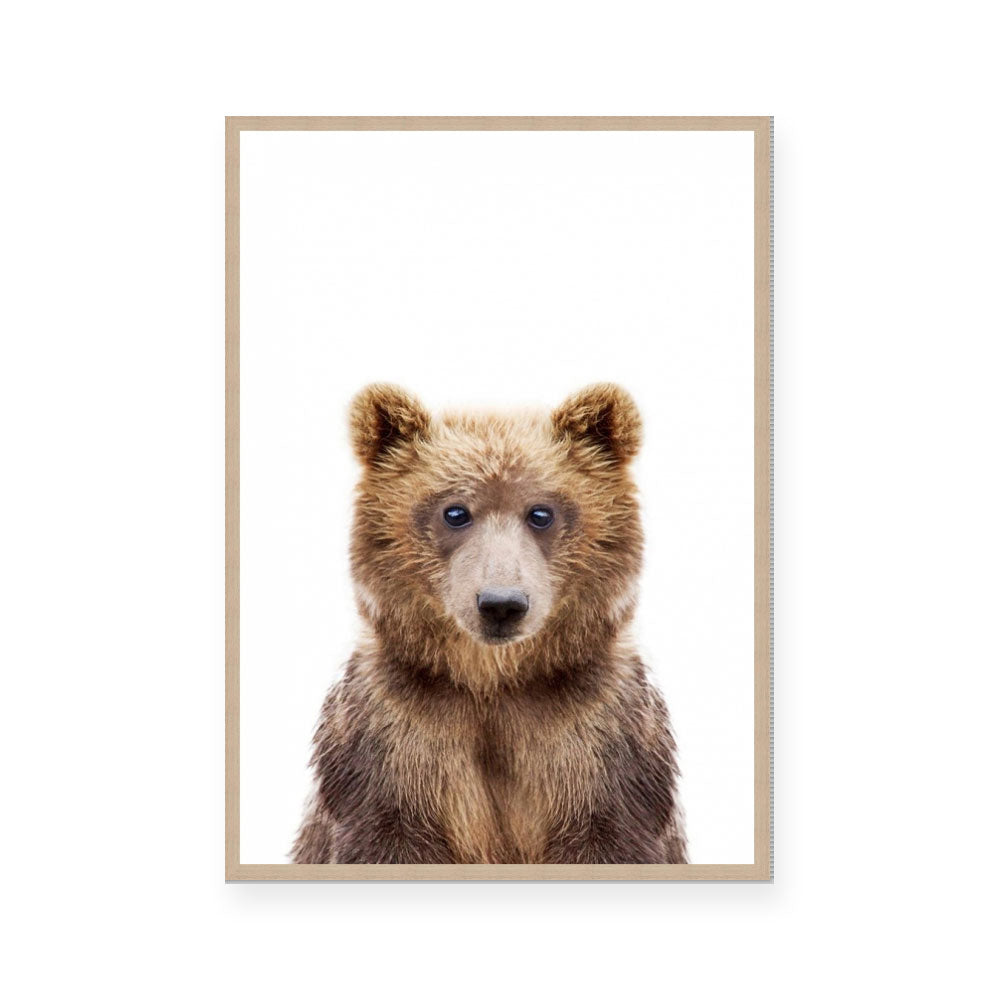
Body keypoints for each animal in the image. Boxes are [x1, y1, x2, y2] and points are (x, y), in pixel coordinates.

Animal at [291, 383, 687, 864]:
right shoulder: (393, 740)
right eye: (455, 512)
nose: (501, 604)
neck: (493, 682)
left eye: (541, 512)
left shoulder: (599, 740)